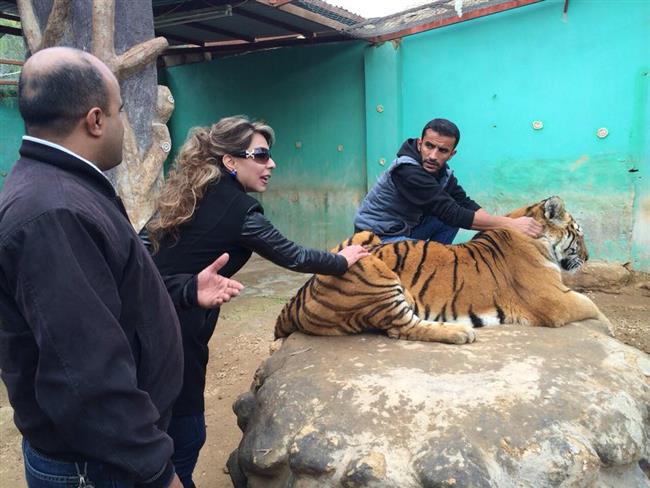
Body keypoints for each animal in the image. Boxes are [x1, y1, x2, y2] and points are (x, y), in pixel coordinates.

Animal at [274, 196, 608, 344]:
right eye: (579, 235)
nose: (589, 256)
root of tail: (297, 298)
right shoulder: (555, 300)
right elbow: (593, 306)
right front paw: (608, 328)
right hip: (373, 273)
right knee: (403, 327)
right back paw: (461, 332)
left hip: (363, 239)